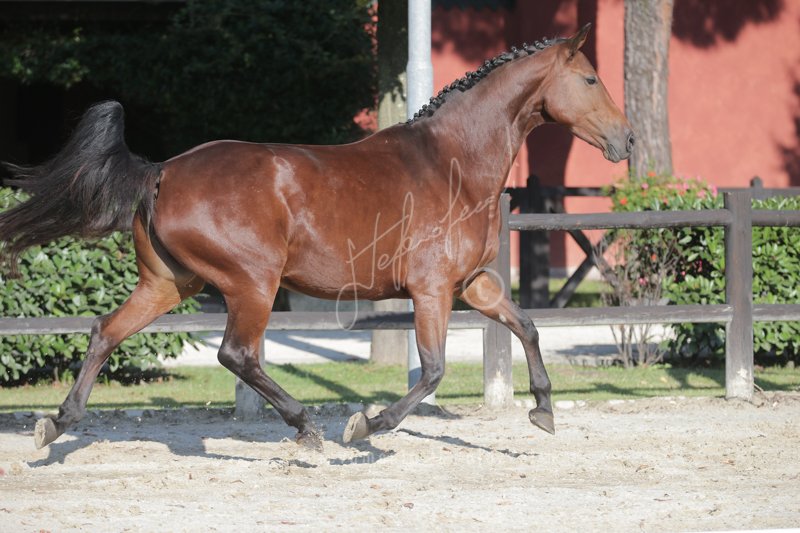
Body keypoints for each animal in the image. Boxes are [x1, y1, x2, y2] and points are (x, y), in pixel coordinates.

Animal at [0, 23, 632, 451]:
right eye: (590, 77)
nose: (626, 140)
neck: (452, 163)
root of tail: (161, 171)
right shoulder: (431, 290)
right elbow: (432, 370)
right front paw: (366, 426)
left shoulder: (473, 283)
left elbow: (525, 325)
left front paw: (543, 410)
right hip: (252, 283)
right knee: (237, 354)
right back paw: (307, 427)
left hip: (169, 284)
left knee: (106, 332)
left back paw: (57, 422)